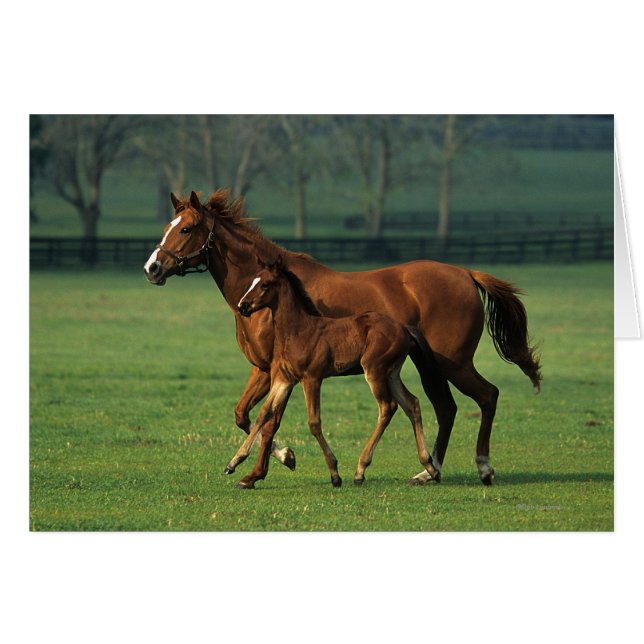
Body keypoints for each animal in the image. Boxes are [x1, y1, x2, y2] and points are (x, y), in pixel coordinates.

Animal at [224, 254, 440, 489]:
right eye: (252, 281)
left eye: (265, 284)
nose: (243, 306)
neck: (297, 330)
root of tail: (404, 328)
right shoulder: (284, 379)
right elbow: (264, 413)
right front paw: (234, 464)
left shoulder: (311, 378)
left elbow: (314, 423)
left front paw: (335, 473)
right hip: (391, 373)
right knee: (412, 403)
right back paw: (430, 467)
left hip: (374, 370)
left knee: (387, 407)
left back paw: (360, 470)